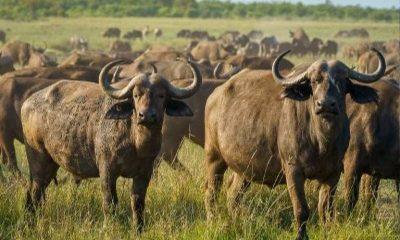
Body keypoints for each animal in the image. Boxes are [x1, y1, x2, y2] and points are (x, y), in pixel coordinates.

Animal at [20, 58, 202, 232]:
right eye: (136, 95)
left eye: (161, 95)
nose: (146, 115)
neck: (136, 142)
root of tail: (27, 102)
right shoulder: (107, 171)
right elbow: (110, 203)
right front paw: (110, 226)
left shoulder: (145, 172)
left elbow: (138, 203)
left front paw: (139, 229)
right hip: (38, 159)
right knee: (35, 190)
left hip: (52, 163)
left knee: (36, 190)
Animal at [203, 49, 384, 239]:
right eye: (314, 81)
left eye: (342, 81)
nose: (325, 104)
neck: (321, 141)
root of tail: (215, 95)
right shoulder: (293, 171)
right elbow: (301, 210)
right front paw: (301, 235)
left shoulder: (333, 174)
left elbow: (325, 210)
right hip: (214, 157)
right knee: (211, 191)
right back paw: (212, 221)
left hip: (244, 169)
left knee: (233, 194)